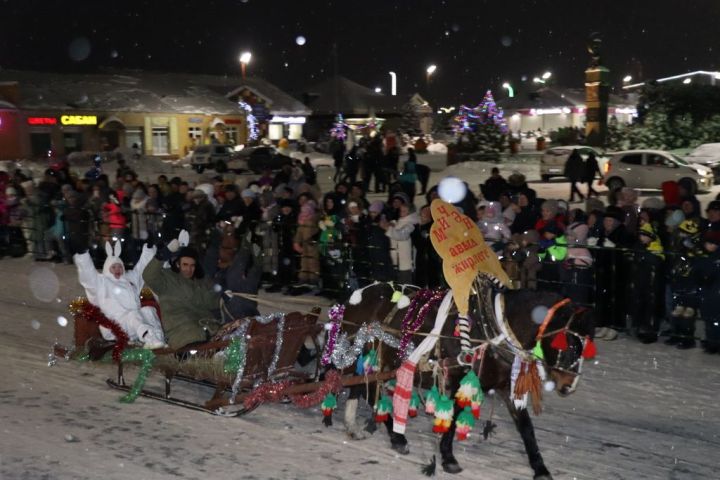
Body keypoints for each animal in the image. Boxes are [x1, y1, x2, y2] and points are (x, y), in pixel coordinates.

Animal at [338, 276, 596, 480]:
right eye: (570, 343)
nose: (569, 386)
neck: (491, 330)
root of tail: (357, 296)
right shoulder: (455, 379)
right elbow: (452, 419)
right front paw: (449, 458)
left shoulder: (505, 386)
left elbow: (526, 427)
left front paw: (540, 468)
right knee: (365, 389)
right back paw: (397, 438)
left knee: (363, 388)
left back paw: (356, 427)